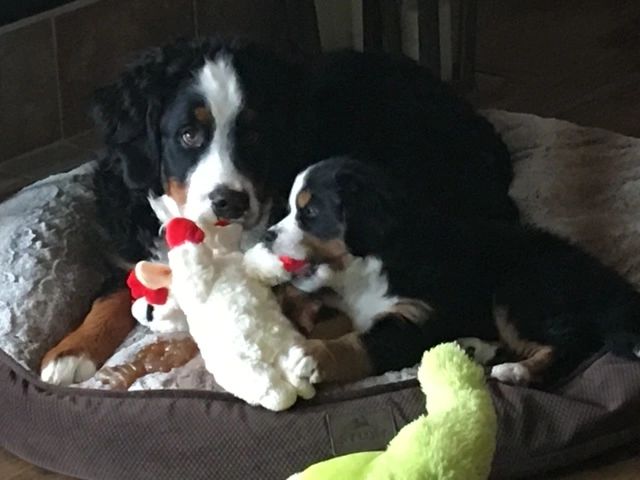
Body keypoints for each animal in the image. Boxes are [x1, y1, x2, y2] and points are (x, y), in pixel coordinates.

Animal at [264, 158, 640, 386]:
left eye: (310, 212)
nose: (267, 236)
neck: (375, 264)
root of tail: (606, 279)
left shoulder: (414, 319)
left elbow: (355, 342)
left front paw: (312, 355)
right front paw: (293, 309)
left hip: (518, 290)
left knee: (572, 344)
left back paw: (516, 371)